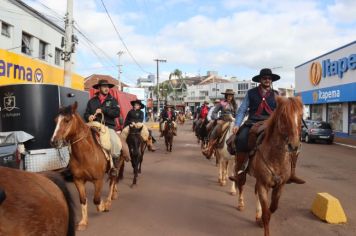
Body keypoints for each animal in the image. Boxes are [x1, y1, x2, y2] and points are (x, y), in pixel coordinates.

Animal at [50, 102, 119, 230]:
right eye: (55, 120)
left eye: (67, 120)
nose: (54, 141)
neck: (86, 154)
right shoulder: (78, 180)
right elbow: (83, 200)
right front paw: (83, 222)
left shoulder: (98, 180)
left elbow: (96, 199)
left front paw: (102, 206)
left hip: (114, 167)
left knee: (113, 181)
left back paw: (108, 201)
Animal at [234, 96, 304, 236]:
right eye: (283, 116)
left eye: (300, 115)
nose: (294, 146)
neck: (276, 158)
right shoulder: (263, 184)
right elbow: (267, 214)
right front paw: (263, 220)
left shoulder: (280, 186)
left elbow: (273, 208)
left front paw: (260, 220)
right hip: (241, 169)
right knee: (241, 184)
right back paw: (241, 204)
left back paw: (257, 215)